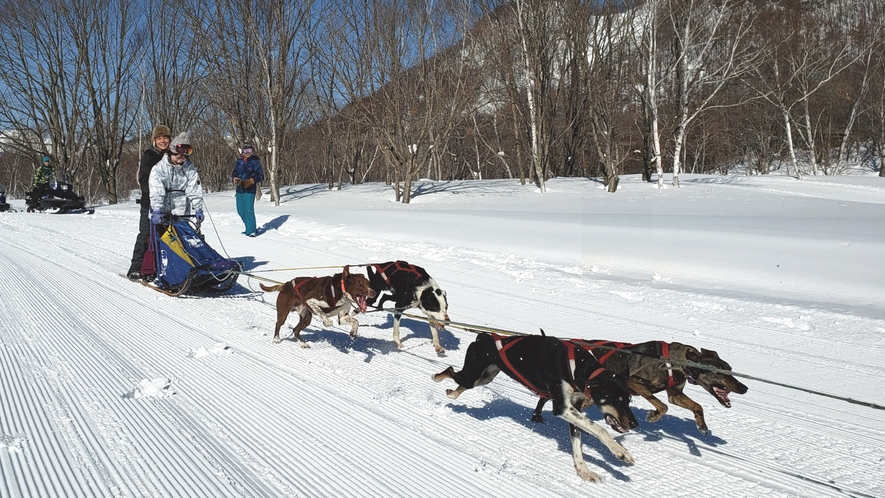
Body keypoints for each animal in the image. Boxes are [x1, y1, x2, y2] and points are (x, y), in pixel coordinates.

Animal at [434, 334, 636, 482]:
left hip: (484, 378)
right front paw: (621, 451)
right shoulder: (563, 408)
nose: (635, 424)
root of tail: (483, 337)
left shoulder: (574, 408)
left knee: (460, 382)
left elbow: (578, 444)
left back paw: (452, 393)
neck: (576, 366)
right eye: (616, 400)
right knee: (450, 371)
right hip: (473, 375)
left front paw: (583, 470)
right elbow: (600, 429)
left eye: (628, 400)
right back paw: (437, 378)